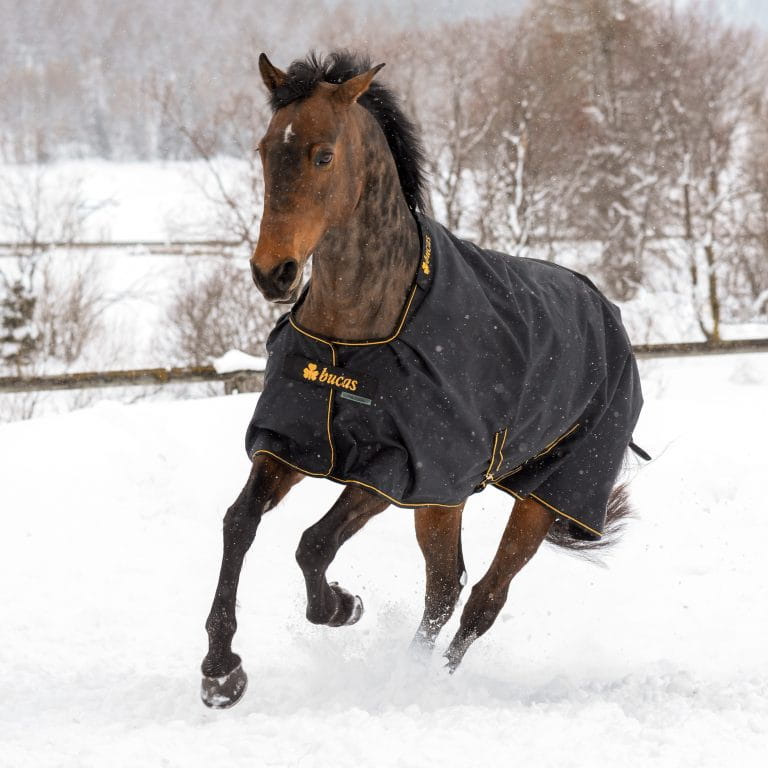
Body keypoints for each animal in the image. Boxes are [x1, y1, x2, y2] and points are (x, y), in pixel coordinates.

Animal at [200, 51, 644, 709]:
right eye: (263, 149)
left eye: (322, 155)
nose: (272, 273)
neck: (356, 336)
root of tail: (606, 311)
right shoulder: (294, 445)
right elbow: (239, 524)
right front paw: (221, 671)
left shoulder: (395, 467)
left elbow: (313, 543)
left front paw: (343, 606)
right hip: (444, 498)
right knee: (445, 584)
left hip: (540, 495)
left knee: (483, 598)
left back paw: (420, 684)